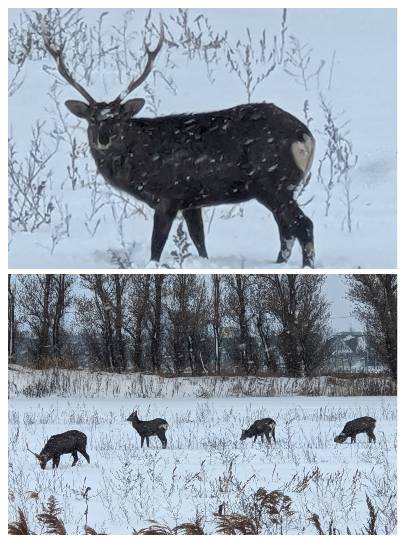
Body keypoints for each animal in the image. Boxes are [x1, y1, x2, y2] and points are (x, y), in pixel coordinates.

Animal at [42, 16, 318, 268]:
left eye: (119, 118)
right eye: (91, 119)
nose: (103, 138)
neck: (140, 164)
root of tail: (305, 136)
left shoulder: (169, 195)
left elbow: (156, 246)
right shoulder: (191, 200)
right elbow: (199, 242)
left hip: (274, 182)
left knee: (303, 225)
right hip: (275, 188)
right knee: (286, 229)